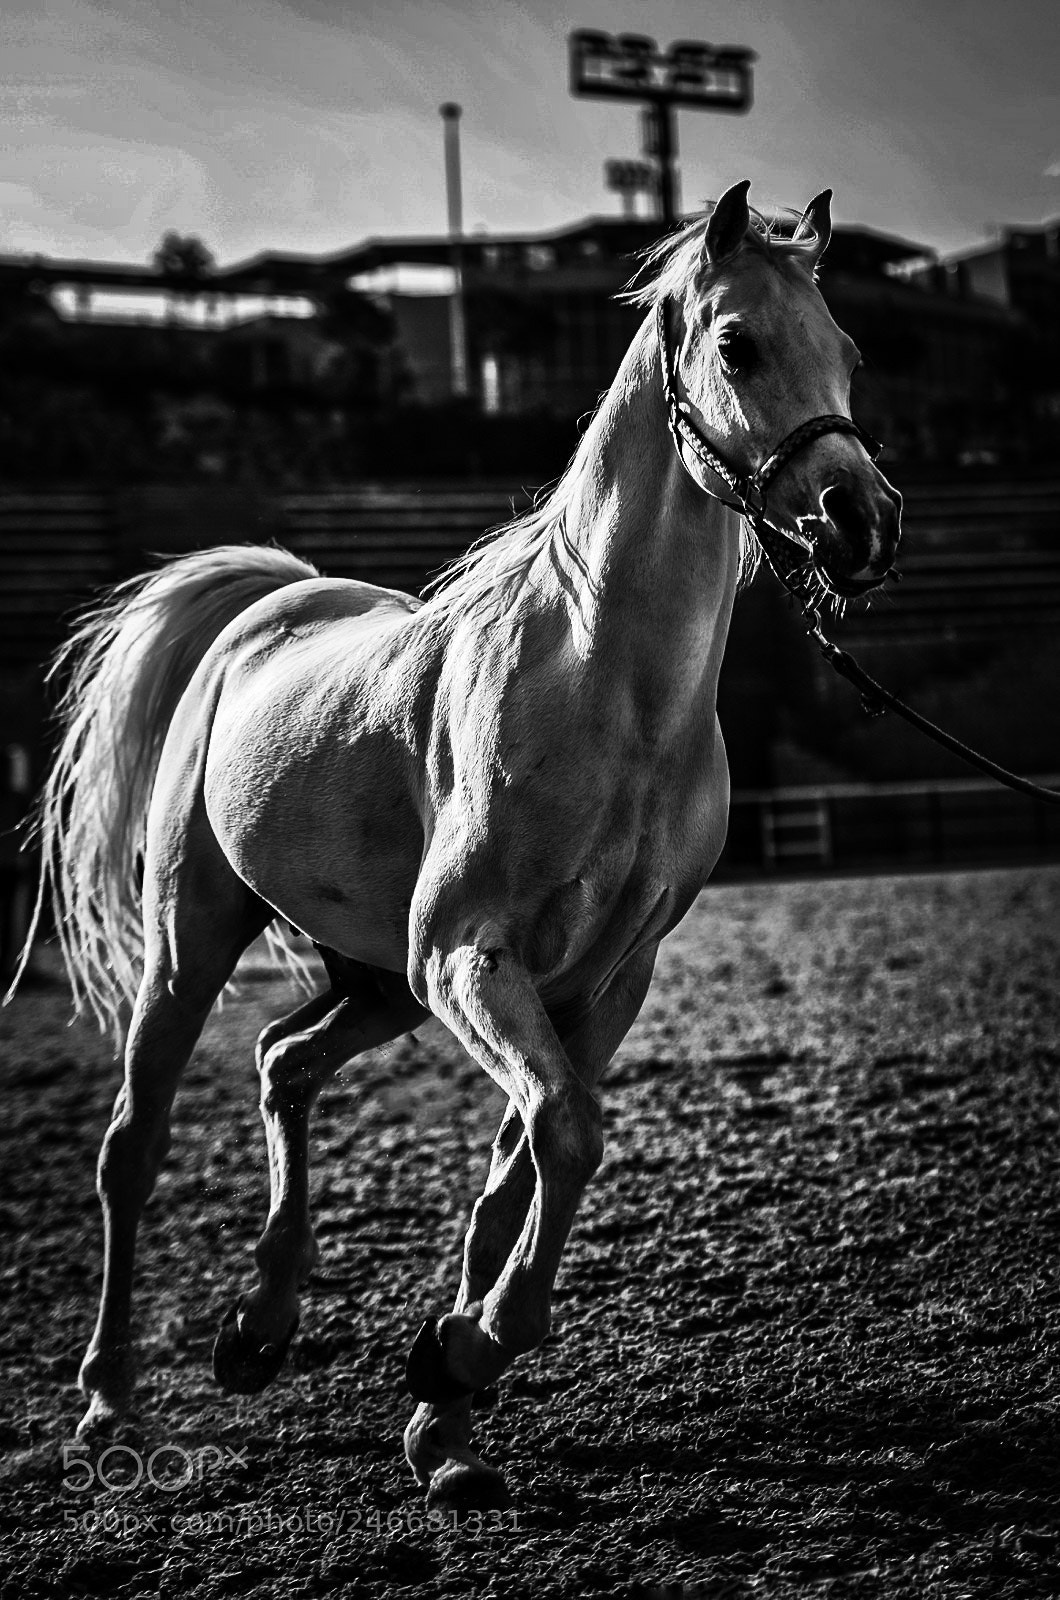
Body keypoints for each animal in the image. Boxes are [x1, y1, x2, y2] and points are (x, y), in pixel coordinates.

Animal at [12, 182, 901, 1508]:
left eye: (846, 351)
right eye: (738, 344)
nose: (862, 519)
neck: (605, 686)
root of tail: (269, 603)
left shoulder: (598, 983)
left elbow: (520, 1169)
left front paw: (445, 1410)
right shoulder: (470, 955)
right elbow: (566, 1134)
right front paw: (468, 1352)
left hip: (377, 979)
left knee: (284, 1062)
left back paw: (260, 1328)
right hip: (200, 938)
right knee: (134, 1146)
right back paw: (109, 1400)